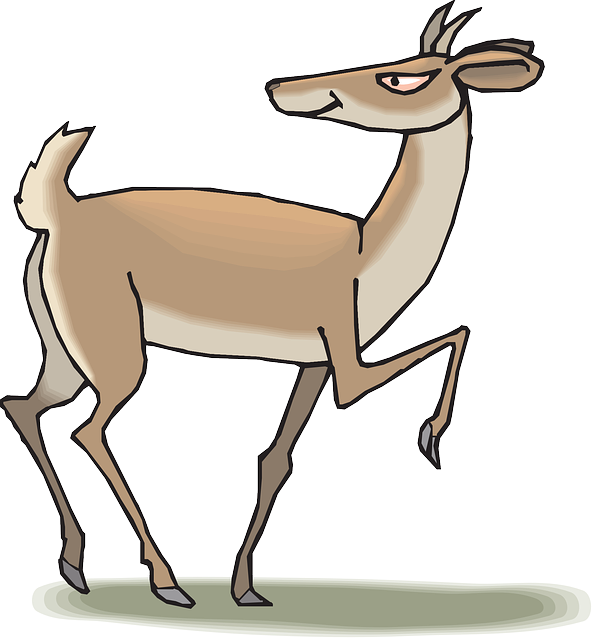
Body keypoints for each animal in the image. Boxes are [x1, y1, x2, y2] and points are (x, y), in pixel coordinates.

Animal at [1, 1, 544, 610]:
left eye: (403, 77)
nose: (282, 87)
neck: (368, 257)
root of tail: (55, 210)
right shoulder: (347, 362)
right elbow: (457, 332)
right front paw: (430, 442)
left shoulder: (313, 362)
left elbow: (276, 458)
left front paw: (245, 589)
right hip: (117, 353)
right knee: (87, 430)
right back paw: (167, 583)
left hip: (67, 352)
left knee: (22, 405)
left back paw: (76, 566)